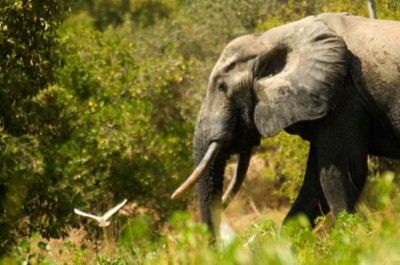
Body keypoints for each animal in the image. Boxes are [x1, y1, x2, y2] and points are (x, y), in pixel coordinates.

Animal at [170, 12, 400, 236]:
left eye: (222, 87)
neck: (267, 39)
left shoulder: (343, 97)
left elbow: (339, 175)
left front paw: (354, 239)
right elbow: (314, 186)